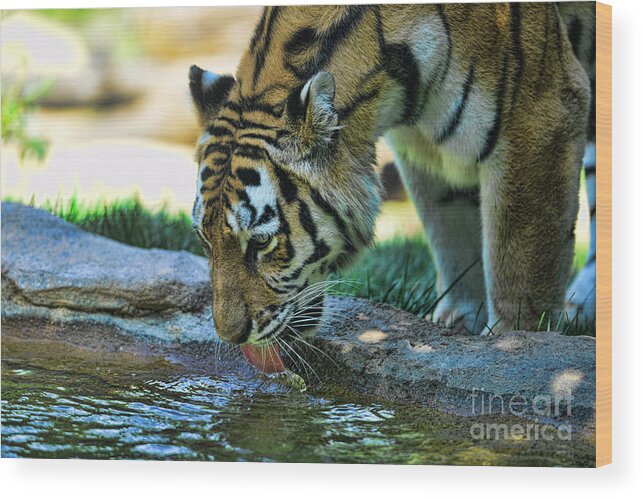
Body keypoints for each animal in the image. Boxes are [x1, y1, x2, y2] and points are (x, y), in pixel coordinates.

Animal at [189, 2, 596, 352]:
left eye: (261, 242)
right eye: (204, 239)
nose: (231, 336)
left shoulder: (542, 115)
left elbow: (520, 265)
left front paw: (513, 339)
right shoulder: (423, 148)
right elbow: (452, 235)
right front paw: (457, 323)